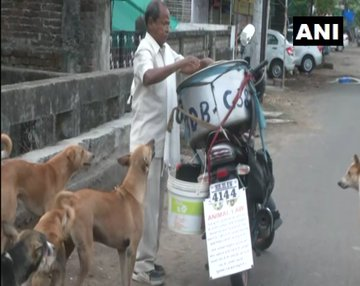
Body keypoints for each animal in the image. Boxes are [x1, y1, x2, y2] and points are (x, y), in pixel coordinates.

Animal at [55, 141, 155, 286]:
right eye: (147, 146)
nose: (153, 140)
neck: (132, 192)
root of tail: (72, 201)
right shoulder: (132, 249)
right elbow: (129, 278)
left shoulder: (122, 250)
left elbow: (124, 278)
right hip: (86, 254)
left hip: (67, 248)